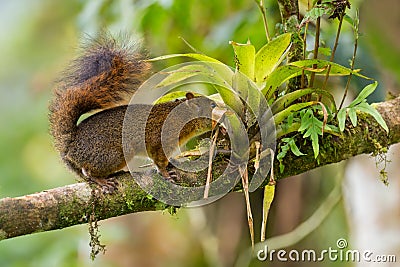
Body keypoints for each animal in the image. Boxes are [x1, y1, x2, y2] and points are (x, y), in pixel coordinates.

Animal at [48, 33, 217, 191]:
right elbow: (159, 161)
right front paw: (166, 174)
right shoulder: (160, 141)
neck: (181, 117)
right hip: (113, 155)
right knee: (88, 172)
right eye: (213, 105)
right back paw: (102, 181)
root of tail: (70, 145)